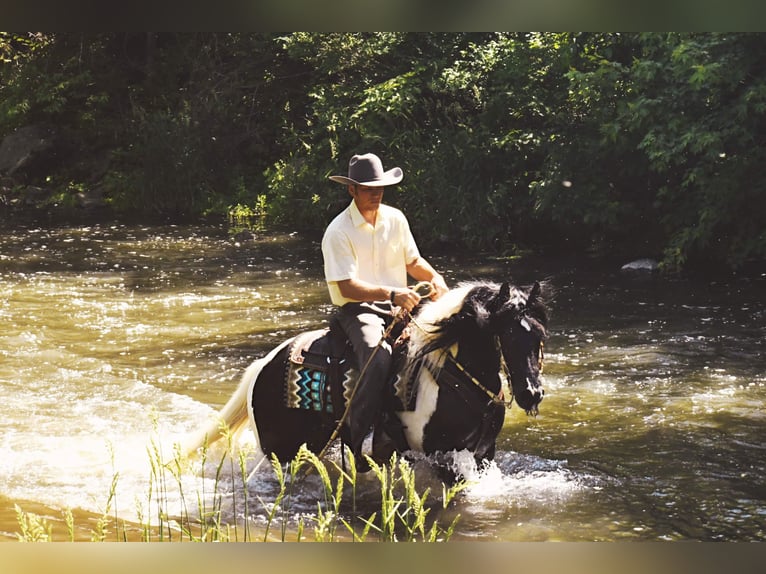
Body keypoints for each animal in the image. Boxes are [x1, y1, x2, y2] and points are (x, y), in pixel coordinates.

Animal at [187, 282, 552, 480]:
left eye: (539, 336)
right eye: (507, 335)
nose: (531, 394)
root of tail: (262, 365)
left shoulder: (483, 454)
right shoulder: (444, 457)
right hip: (282, 452)